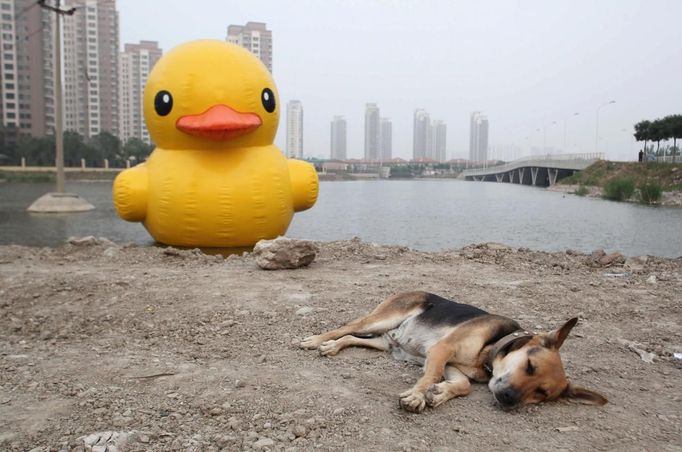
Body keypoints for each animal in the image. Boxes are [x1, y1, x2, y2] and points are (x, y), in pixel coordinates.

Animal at [298, 292, 604, 412]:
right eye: (529, 366)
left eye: (540, 393)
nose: (508, 398)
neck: (491, 349)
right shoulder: (441, 351)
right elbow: (431, 376)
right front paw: (417, 396)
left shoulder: (451, 364)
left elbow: (463, 386)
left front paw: (440, 394)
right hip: (381, 319)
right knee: (346, 327)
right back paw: (316, 340)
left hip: (385, 342)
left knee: (350, 337)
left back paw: (333, 347)